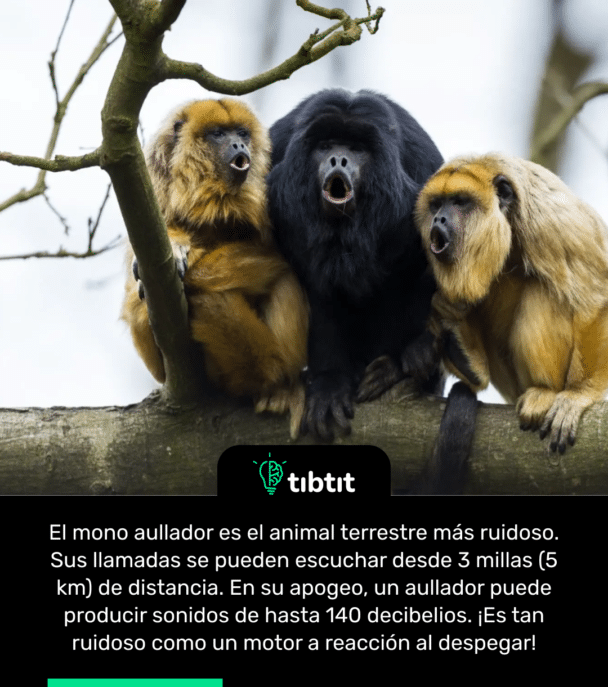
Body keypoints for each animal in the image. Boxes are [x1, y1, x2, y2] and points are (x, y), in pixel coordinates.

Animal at [121, 99, 309, 435]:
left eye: (242, 133)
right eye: (219, 134)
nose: (239, 144)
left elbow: (285, 256)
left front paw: (193, 272)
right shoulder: (155, 188)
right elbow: (140, 264)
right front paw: (176, 245)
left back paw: (274, 378)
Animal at [415, 152, 608, 453]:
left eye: (460, 202)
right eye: (436, 204)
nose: (439, 219)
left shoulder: (553, 225)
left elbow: (595, 299)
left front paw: (579, 394)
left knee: (543, 289)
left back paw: (545, 391)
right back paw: (464, 350)